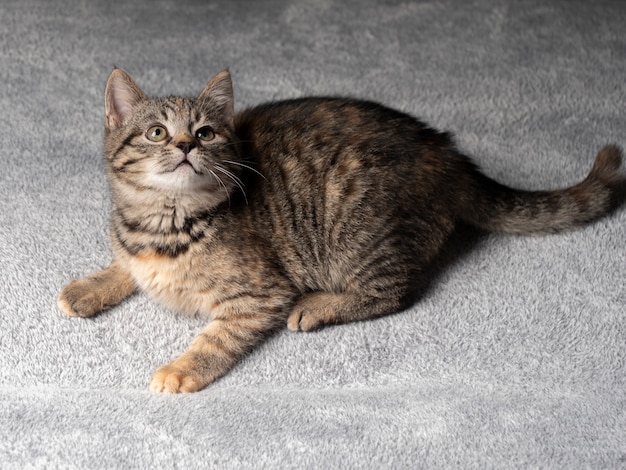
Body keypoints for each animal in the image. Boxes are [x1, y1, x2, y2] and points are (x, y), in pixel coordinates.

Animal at [57, 67, 620, 392]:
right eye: (156, 132)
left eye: (206, 132)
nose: (185, 145)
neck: (166, 222)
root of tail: (448, 153)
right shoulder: (135, 248)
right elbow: (124, 266)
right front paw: (90, 286)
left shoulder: (261, 292)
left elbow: (217, 337)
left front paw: (182, 368)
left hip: (354, 227)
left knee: (393, 292)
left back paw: (320, 306)